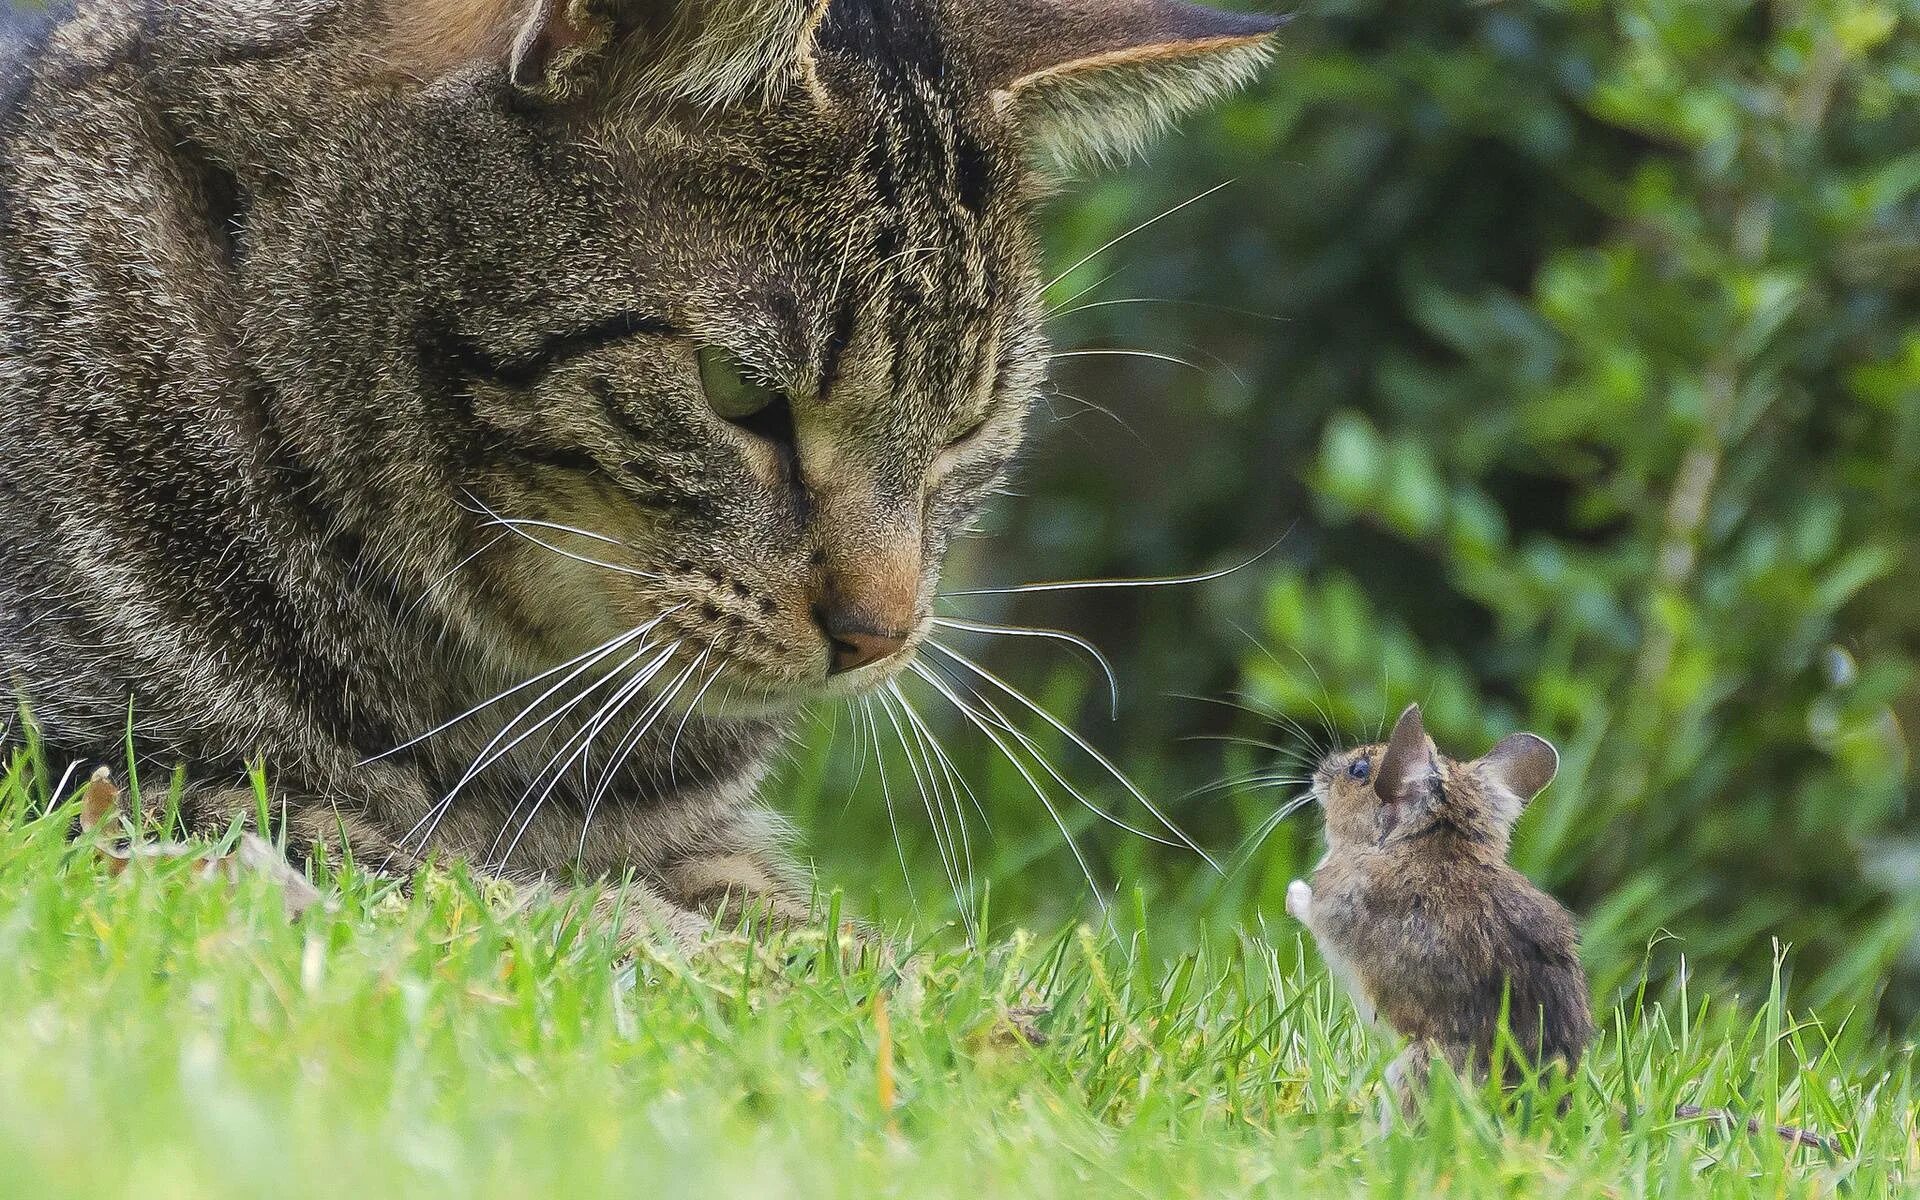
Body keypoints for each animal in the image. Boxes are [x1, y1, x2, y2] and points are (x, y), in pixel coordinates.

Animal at [0, 0, 1274, 936]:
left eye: (969, 426)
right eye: (740, 394)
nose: (881, 634)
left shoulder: (700, 845)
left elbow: (819, 936)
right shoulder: (91, 774)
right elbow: (450, 881)